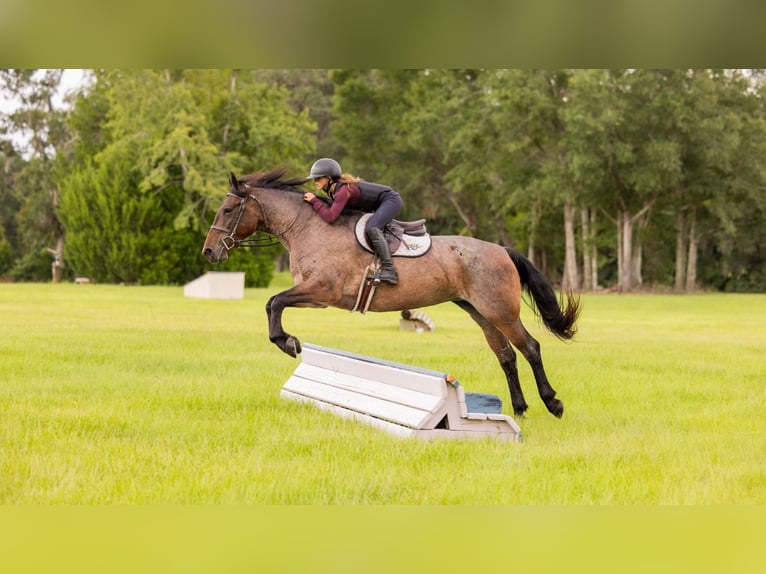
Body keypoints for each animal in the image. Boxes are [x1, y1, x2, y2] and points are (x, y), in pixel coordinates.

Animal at [202, 168, 581, 418]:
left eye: (228, 210)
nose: (208, 252)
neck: (308, 227)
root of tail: (501, 249)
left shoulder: (321, 292)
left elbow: (274, 301)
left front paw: (287, 342)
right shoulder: (315, 294)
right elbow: (273, 302)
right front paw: (287, 341)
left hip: (501, 311)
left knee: (529, 347)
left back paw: (553, 403)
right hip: (481, 313)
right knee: (506, 355)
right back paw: (519, 409)